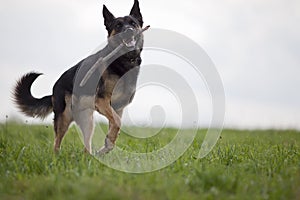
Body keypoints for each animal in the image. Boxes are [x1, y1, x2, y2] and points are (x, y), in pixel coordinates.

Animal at [12, 0, 145, 155]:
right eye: (118, 26)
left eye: (133, 23)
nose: (129, 30)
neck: (122, 61)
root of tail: (54, 88)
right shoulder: (102, 101)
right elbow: (117, 122)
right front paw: (106, 145)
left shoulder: (118, 108)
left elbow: (116, 125)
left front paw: (107, 145)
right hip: (64, 118)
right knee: (57, 142)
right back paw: (57, 157)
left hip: (88, 121)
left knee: (86, 146)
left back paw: (89, 156)